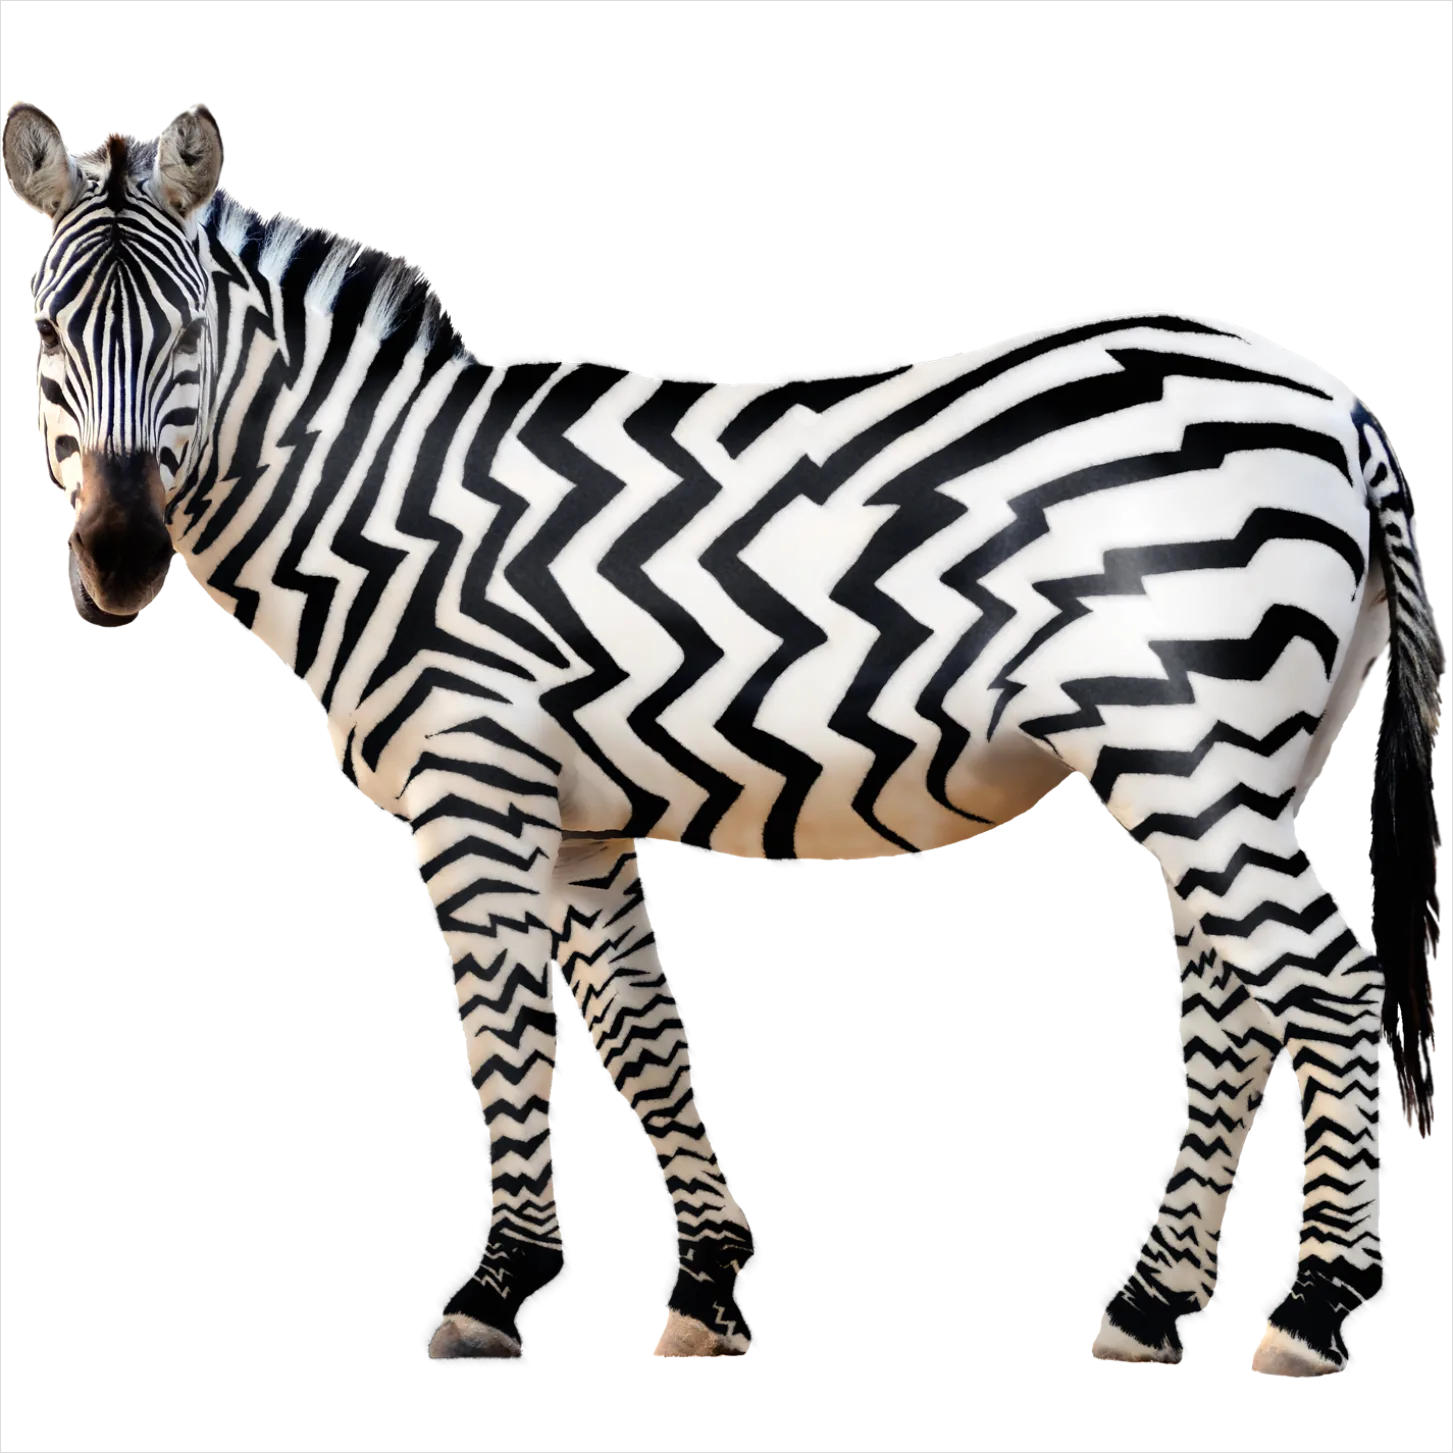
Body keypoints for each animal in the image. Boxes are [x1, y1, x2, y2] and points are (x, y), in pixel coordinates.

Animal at [5, 102, 1441, 1374]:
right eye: (46, 329)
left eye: (190, 330)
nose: (119, 561)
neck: (386, 503)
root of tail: (1337, 399)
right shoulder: (578, 813)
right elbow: (643, 1039)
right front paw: (710, 1291)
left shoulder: (474, 782)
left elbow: (502, 1031)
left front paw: (498, 1291)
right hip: (1240, 758)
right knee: (1234, 1005)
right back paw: (1151, 1310)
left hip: (1192, 749)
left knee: (1329, 981)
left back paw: (1312, 1316)